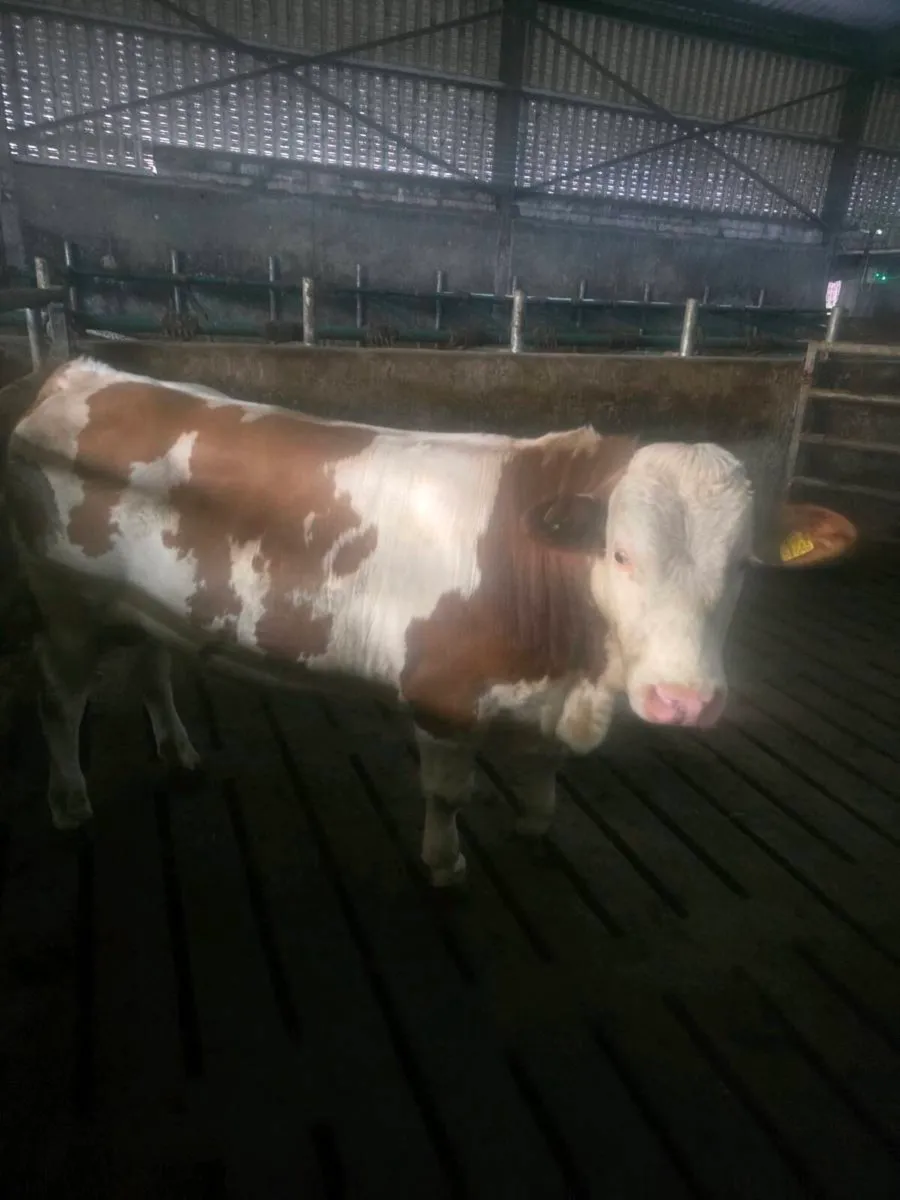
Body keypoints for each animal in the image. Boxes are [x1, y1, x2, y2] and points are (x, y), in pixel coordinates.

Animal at [4, 357, 855, 886]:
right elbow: (448, 792)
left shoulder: (546, 698)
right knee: (57, 698)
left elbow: (543, 775)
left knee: (152, 667)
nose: (684, 701)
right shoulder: (444, 696)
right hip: (66, 601)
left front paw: (535, 827)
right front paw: (445, 863)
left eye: (743, 565)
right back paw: (69, 801)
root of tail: (82, 371)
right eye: (620, 554)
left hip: (143, 605)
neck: (575, 666)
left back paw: (179, 755)